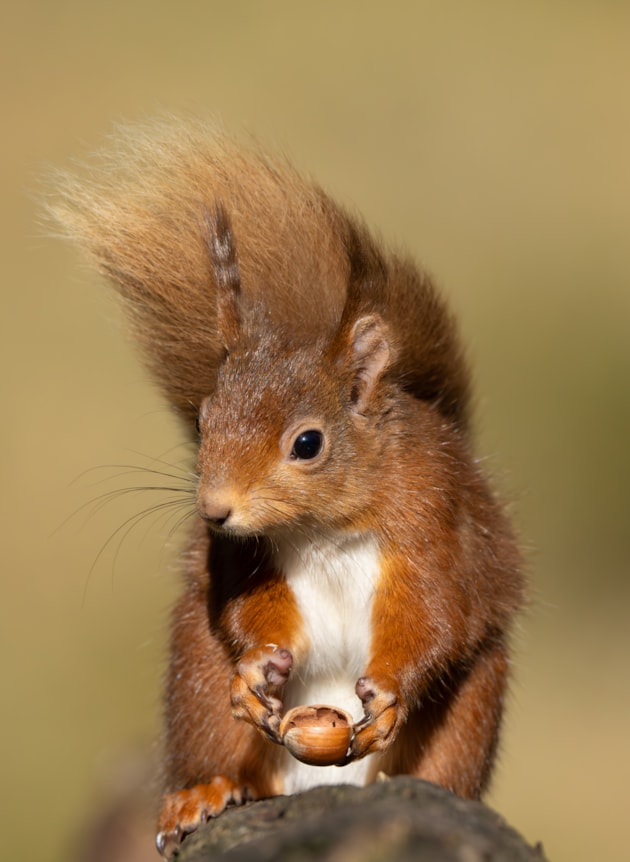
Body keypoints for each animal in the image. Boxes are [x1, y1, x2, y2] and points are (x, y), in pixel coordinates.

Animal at [49, 118, 524, 857]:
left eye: (308, 444)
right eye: (204, 421)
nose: (214, 509)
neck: (322, 526)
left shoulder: (436, 522)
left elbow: (436, 614)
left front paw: (391, 688)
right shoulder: (242, 556)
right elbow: (249, 611)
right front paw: (257, 667)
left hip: (470, 713)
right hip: (196, 683)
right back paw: (202, 793)